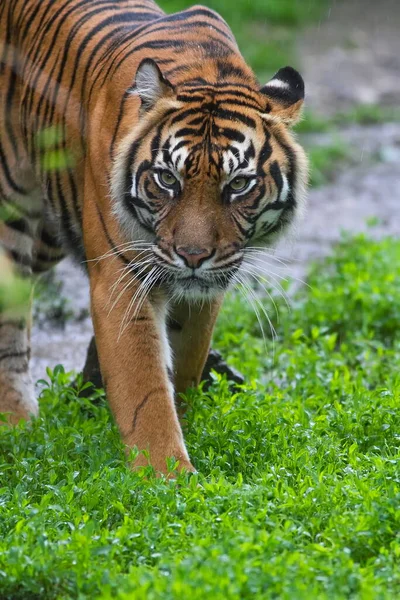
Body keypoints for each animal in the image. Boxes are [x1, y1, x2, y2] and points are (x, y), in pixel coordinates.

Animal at [0, 1, 308, 474]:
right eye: (167, 179)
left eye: (238, 184)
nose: (193, 255)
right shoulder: (123, 280)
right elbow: (144, 391)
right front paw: (168, 478)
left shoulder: (204, 289)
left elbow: (182, 364)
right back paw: (16, 424)